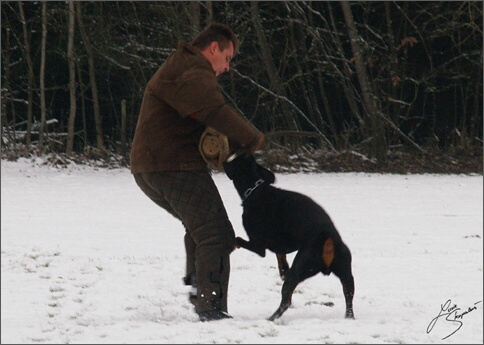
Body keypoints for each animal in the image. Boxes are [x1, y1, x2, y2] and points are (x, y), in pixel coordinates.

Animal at [223, 153, 356, 320]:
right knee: (349, 295)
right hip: (346, 271)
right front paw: (282, 269)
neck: (257, 190)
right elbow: (281, 256)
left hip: (300, 267)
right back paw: (348, 316)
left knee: (286, 300)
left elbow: (237, 240)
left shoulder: (258, 245)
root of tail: (328, 239)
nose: (224, 160)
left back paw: (271, 318)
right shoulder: (281, 245)